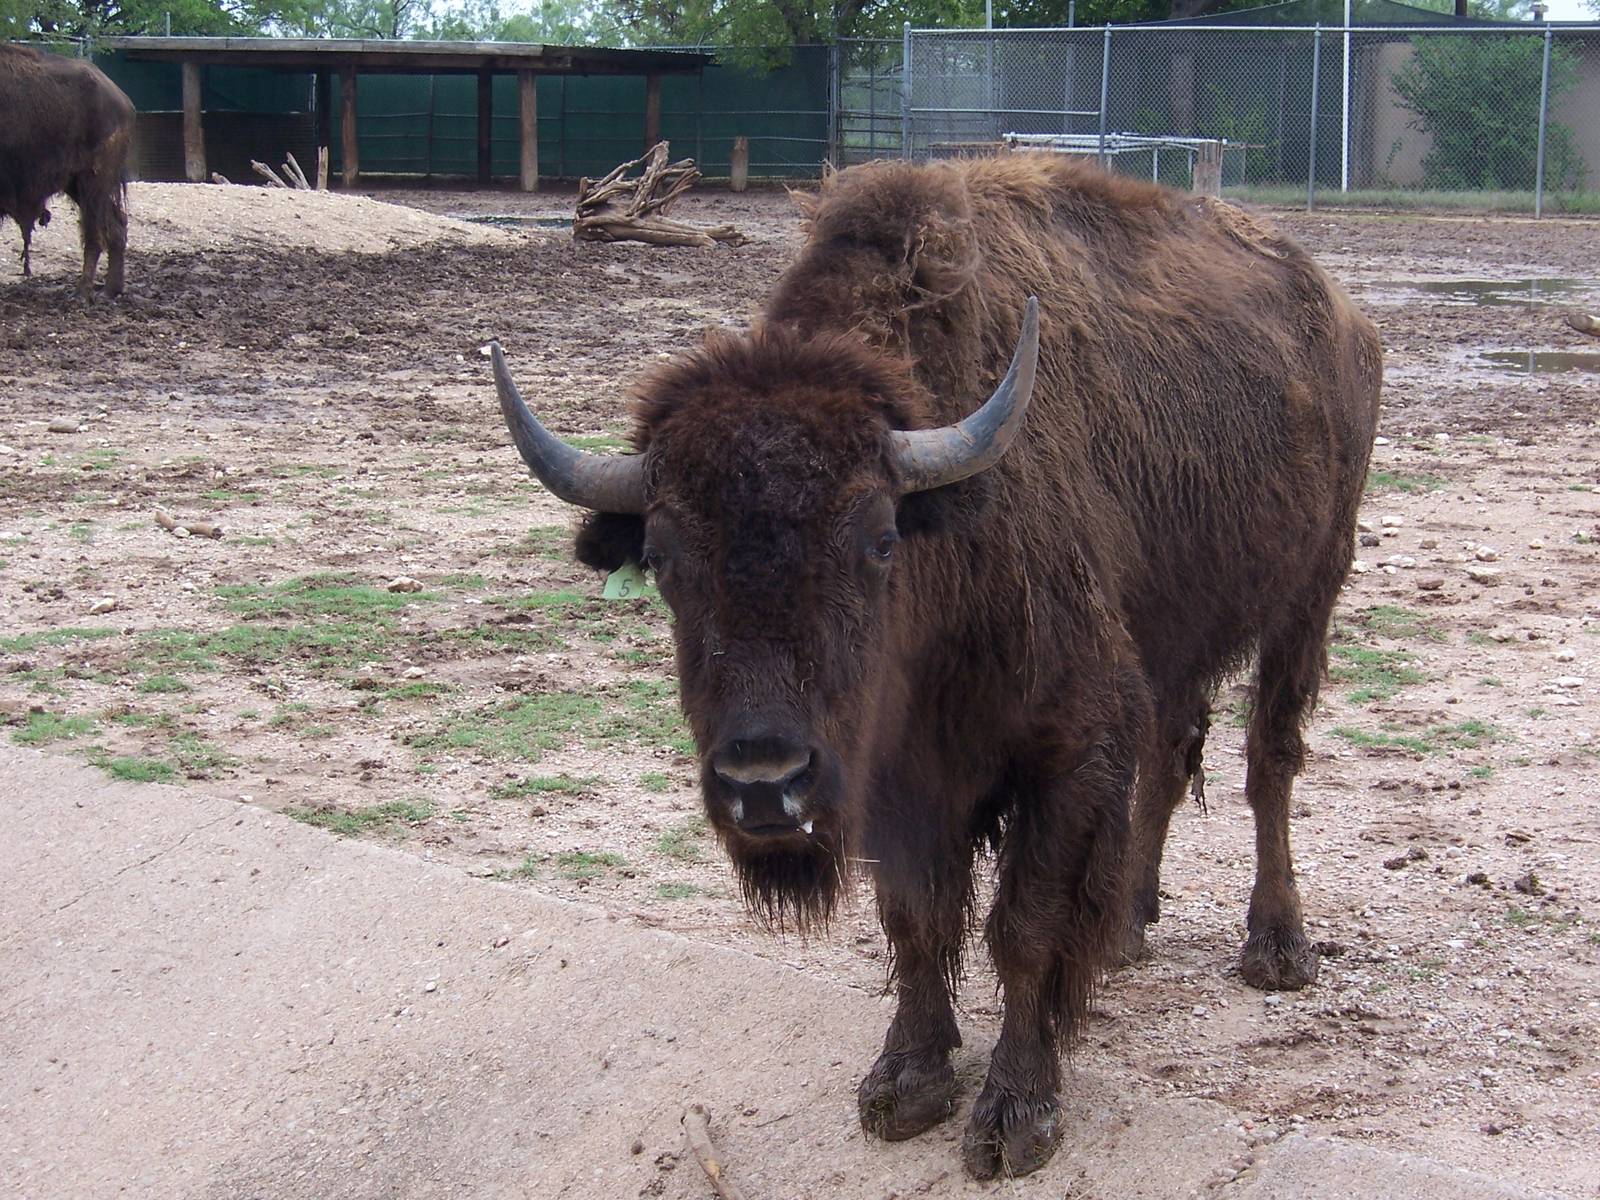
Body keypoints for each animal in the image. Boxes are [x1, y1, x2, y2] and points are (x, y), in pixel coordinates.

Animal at [1, 43, 135, 297]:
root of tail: (122, 100)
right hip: (76, 185)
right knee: (116, 226)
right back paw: (110, 290)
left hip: (92, 182)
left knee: (95, 235)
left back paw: (82, 292)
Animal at [491, 155, 1381, 1179]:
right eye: (664, 555)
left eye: (879, 538)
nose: (764, 783)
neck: (947, 526)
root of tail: (1342, 311)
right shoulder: (897, 777)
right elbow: (916, 918)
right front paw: (904, 1084)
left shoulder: (1066, 753)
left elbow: (1024, 927)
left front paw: (1016, 1115)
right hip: (1178, 636)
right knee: (1171, 755)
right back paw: (1126, 928)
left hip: (1309, 594)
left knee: (1269, 760)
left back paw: (1277, 946)